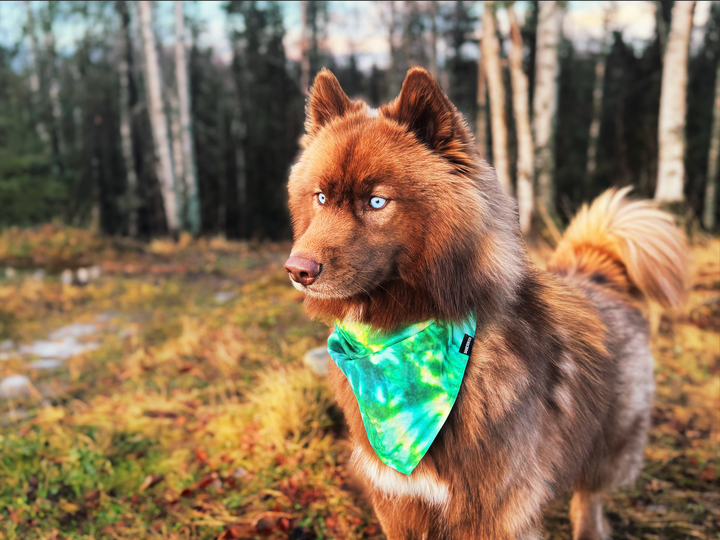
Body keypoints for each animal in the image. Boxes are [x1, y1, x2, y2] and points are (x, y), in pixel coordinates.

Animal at [284, 68, 688, 540]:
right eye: (320, 198)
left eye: (376, 201)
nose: (297, 269)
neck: (399, 339)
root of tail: (597, 272)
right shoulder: (399, 502)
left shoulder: (493, 509)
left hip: (608, 442)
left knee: (589, 496)